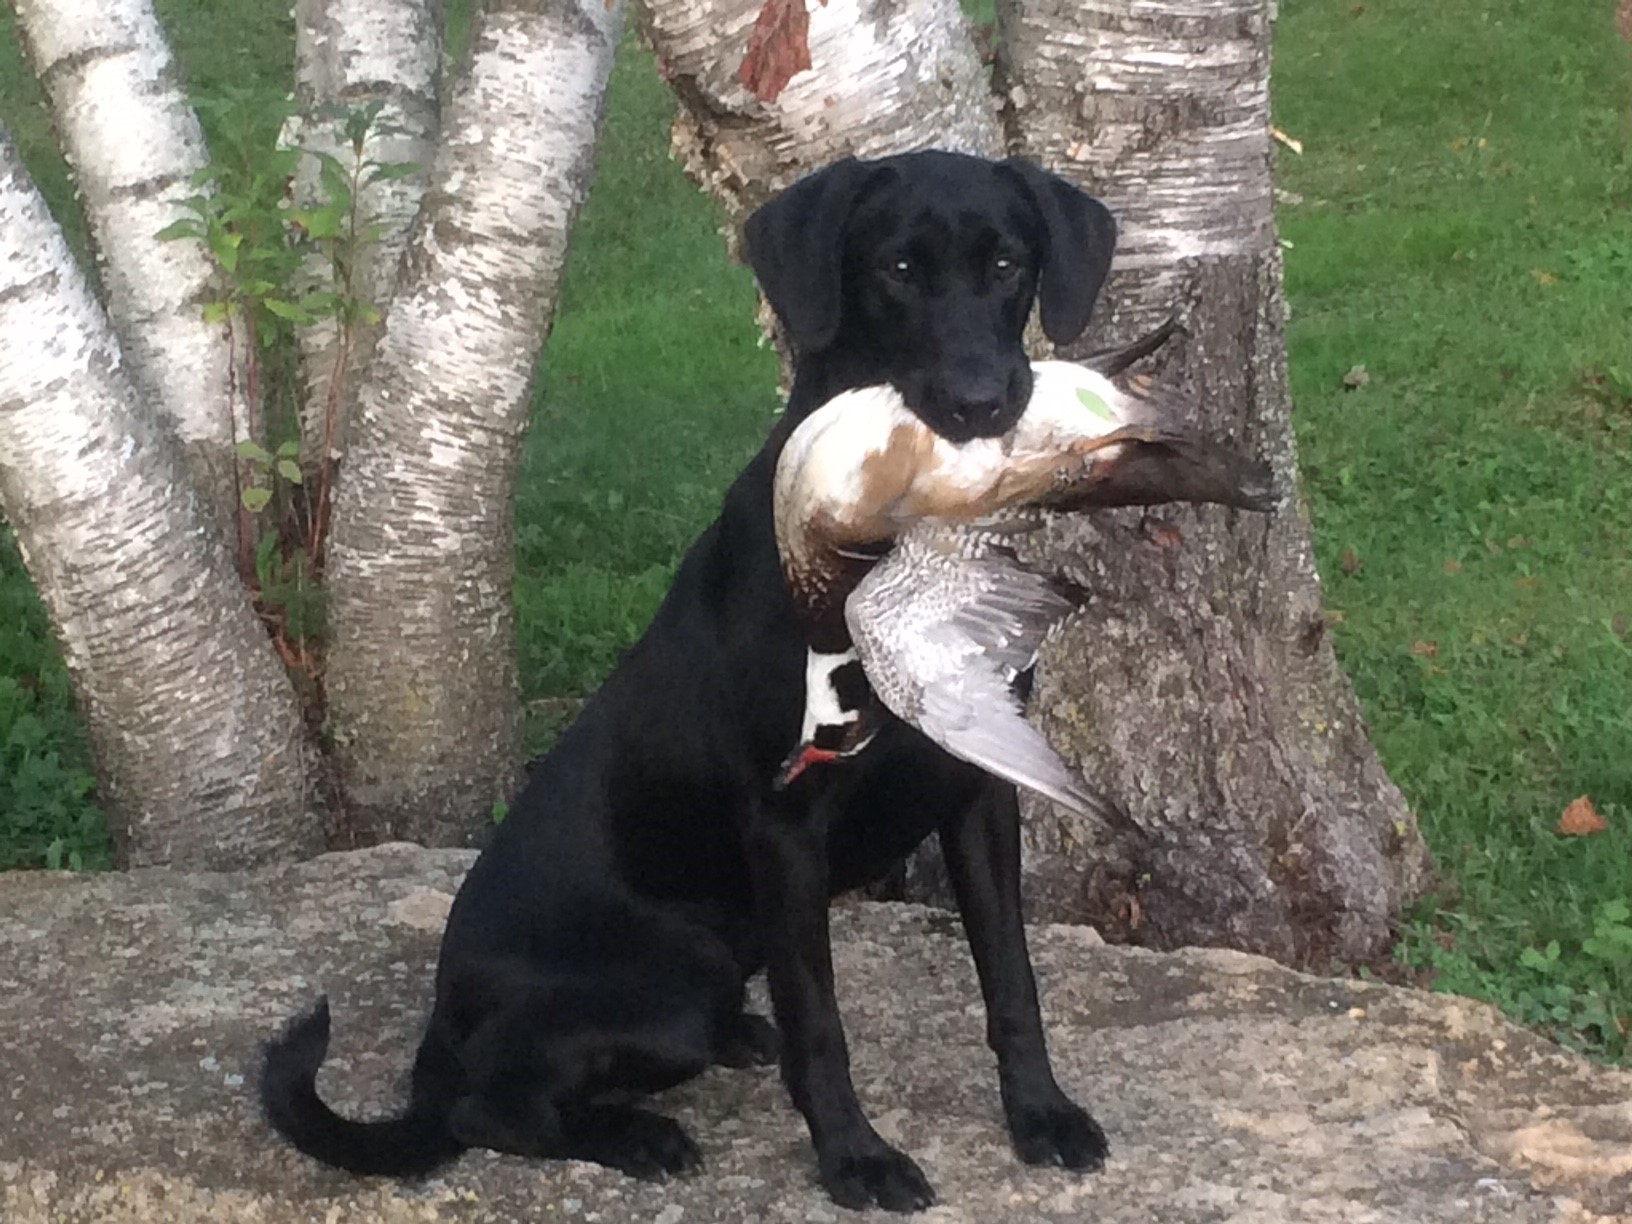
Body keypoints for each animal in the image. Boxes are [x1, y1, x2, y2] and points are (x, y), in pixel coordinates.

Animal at [257, 148, 1122, 1214]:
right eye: (898, 269)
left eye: (1007, 264)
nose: (979, 399)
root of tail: (438, 1034)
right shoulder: (785, 822)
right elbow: (821, 1023)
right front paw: (855, 1159)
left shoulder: (979, 789)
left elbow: (1011, 979)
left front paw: (1040, 1113)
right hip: (676, 980)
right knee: (488, 1111)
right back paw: (640, 1134)